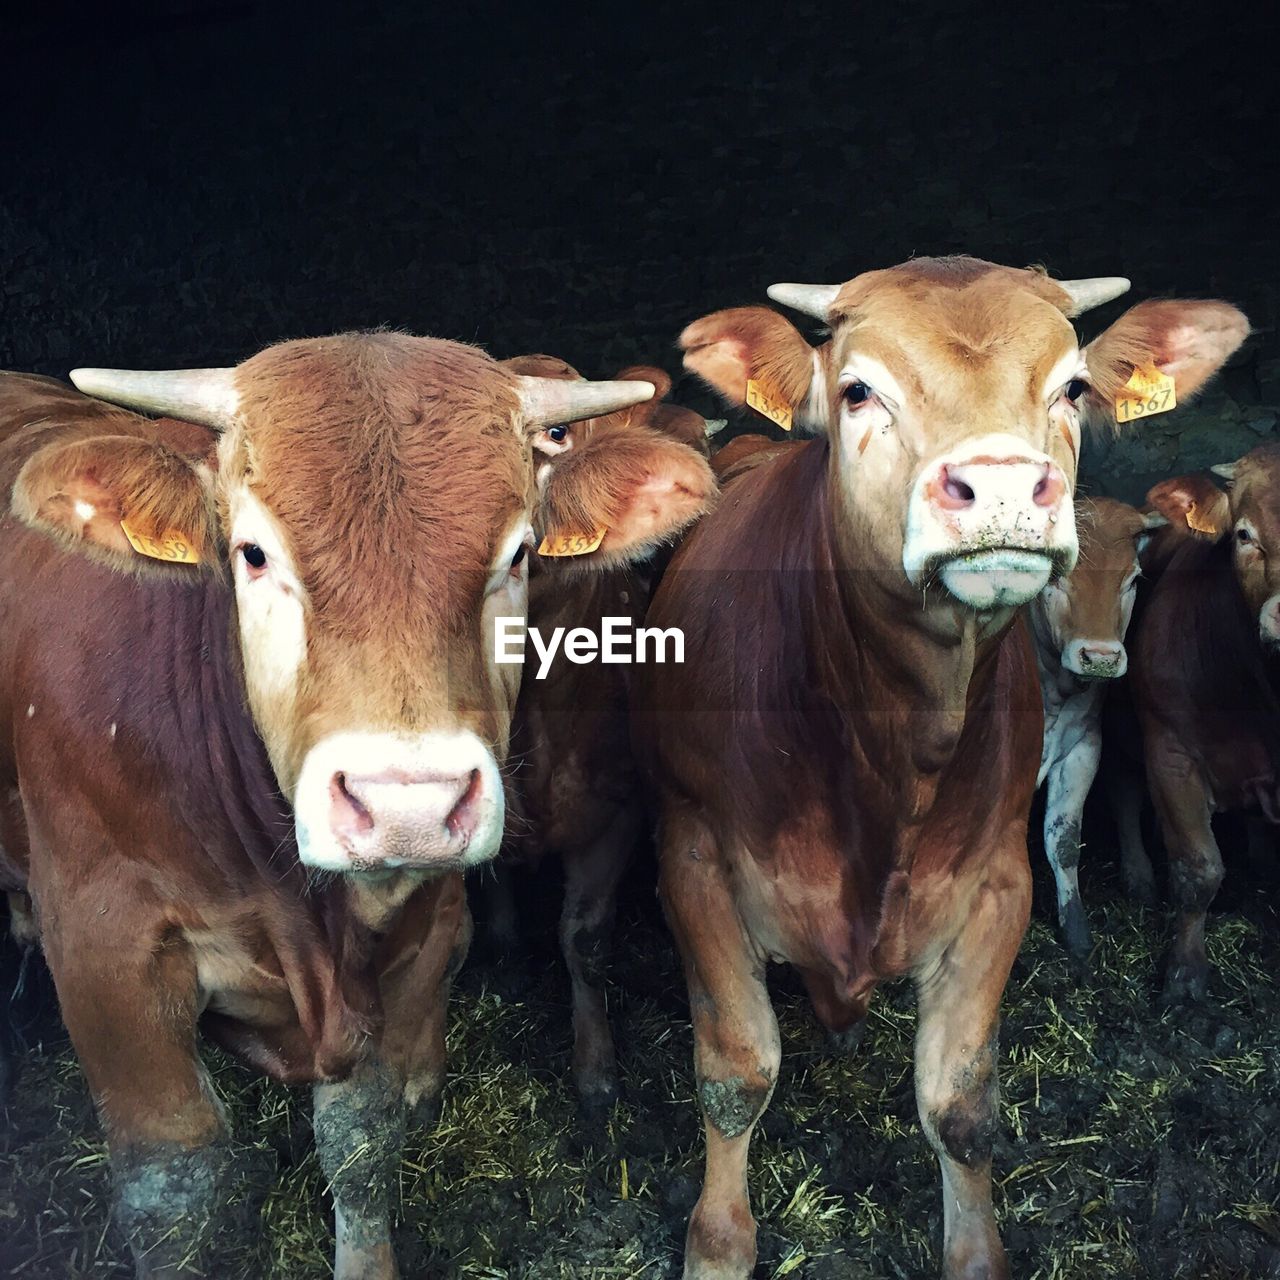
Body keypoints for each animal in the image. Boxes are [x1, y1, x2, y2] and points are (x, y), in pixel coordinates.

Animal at [0, 337, 716, 1280]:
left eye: (519, 554)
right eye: (252, 554)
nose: (406, 803)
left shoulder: (410, 939)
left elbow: (364, 1146)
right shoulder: (104, 949)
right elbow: (176, 1192)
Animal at [1029, 494, 1172, 957]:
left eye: (1134, 579)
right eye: (1055, 574)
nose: (1101, 657)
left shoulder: (1083, 748)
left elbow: (1063, 840)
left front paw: (1076, 935)